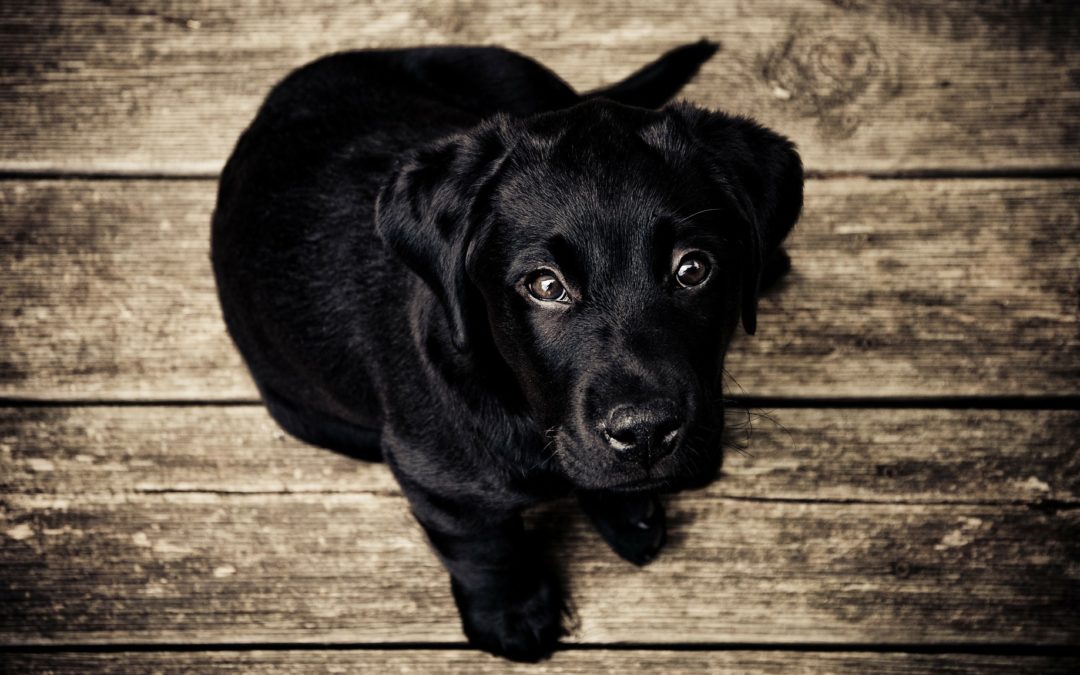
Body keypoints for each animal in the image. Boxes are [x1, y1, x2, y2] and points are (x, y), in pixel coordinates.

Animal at [210, 40, 803, 656]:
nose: (644, 433)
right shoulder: (435, 479)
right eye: (545, 286)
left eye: (693, 269)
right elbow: (484, 548)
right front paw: (513, 614)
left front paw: (623, 508)